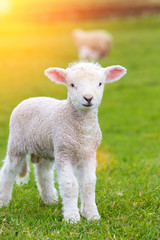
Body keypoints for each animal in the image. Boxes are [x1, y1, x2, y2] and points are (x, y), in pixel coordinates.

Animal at [0, 61, 127, 222]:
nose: (88, 98)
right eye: (72, 84)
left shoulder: (89, 154)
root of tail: (31, 98)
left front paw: (92, 215)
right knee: (8, 171)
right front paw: (72, 218)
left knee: (43, 173)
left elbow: (89, 183)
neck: (81, 132)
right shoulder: (64, 152)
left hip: (45, 147)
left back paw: (50, 200)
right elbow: (70, 184)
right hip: (17, 144)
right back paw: (3, 202)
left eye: (100, 83)